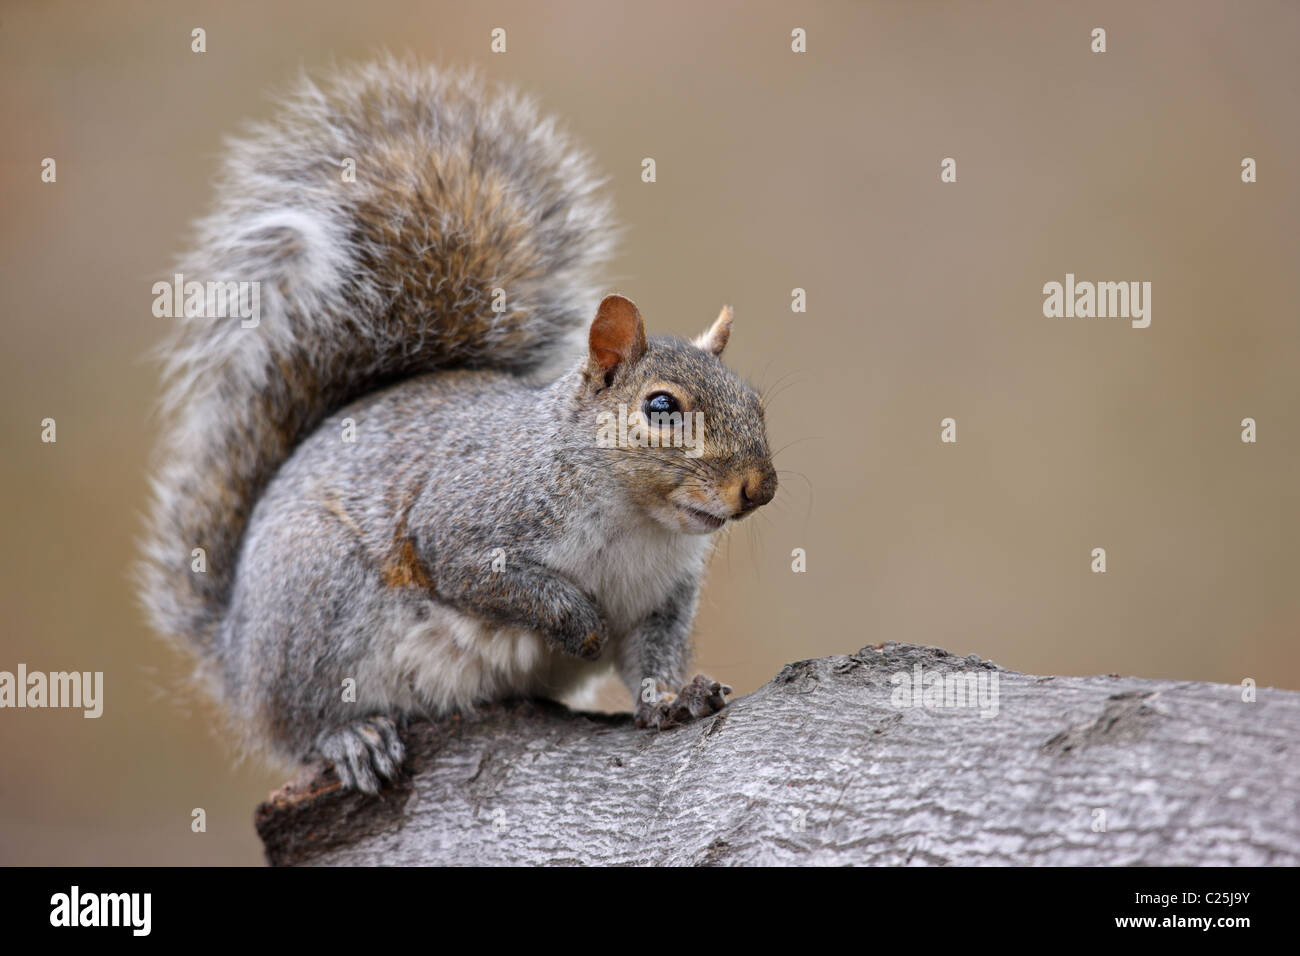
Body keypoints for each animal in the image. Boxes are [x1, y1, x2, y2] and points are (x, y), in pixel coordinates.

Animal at [139, 60, 777, 793]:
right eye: (662, 408)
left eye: (757, 402)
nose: (760, 488)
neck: (635, 520)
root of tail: (235, 655)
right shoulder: (466, 520)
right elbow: (484, 577)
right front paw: (577, 620)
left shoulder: (660, 599)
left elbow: (652, 658)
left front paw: (674, 699)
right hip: (316, 601)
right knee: (298, 724)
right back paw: (349, 737)